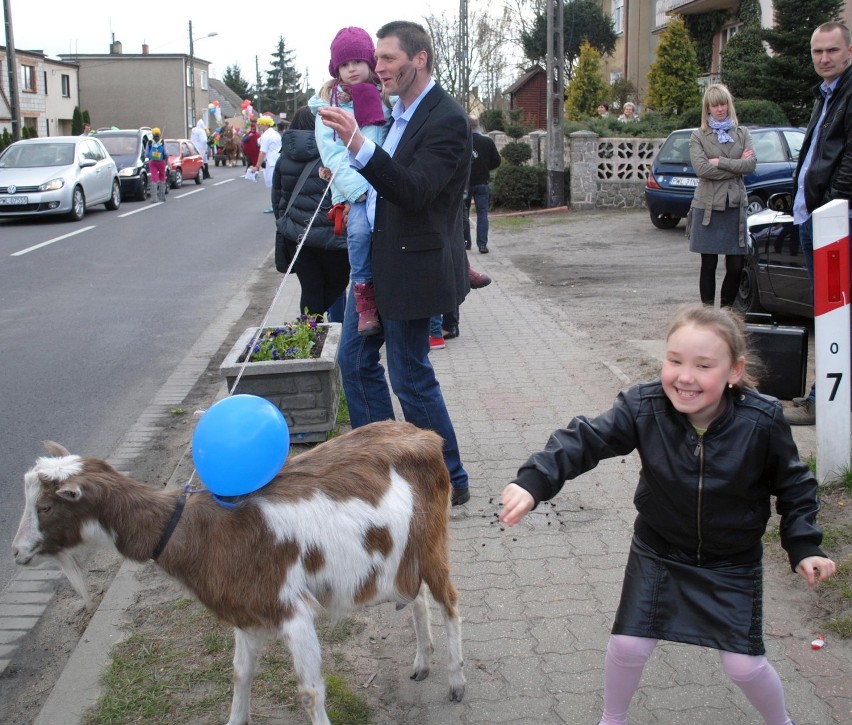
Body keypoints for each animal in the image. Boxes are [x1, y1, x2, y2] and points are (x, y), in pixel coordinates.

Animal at [11, 418, 466, 724]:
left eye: (46, 506)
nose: (16, 553)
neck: (196, 527)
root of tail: (427, 435)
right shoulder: (246, 614)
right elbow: (239, 674)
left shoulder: (293, 612)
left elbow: (308, 692)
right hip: (400, 558)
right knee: (416, 599)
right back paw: (422, 663)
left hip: (432, 542)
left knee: (449, 603)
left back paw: (456, 683)